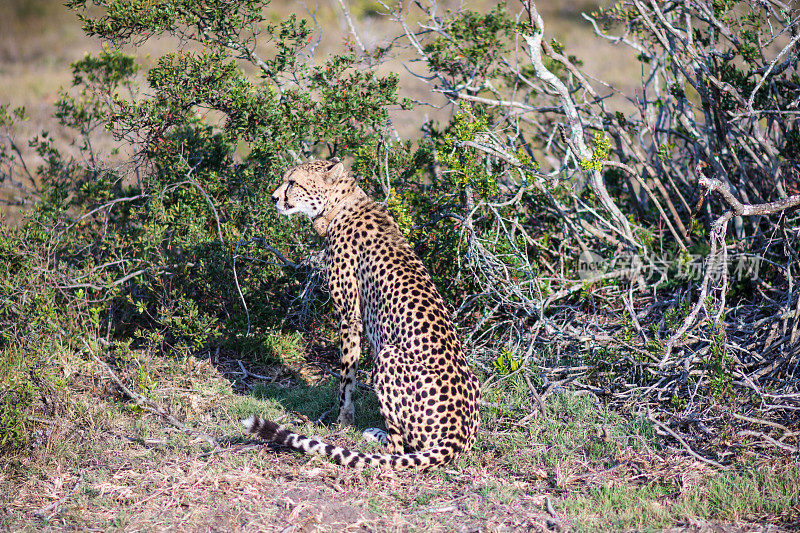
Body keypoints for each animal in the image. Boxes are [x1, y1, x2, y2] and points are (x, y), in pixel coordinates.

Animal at [242, 158, 482, 470]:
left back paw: (375, 436)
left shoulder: (349, 315)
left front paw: (343, 421)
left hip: (388, 356)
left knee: (398, 448)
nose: (273, 198)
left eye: (293, 182)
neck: (340, 204)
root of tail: (458, 436)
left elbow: (347, 378)